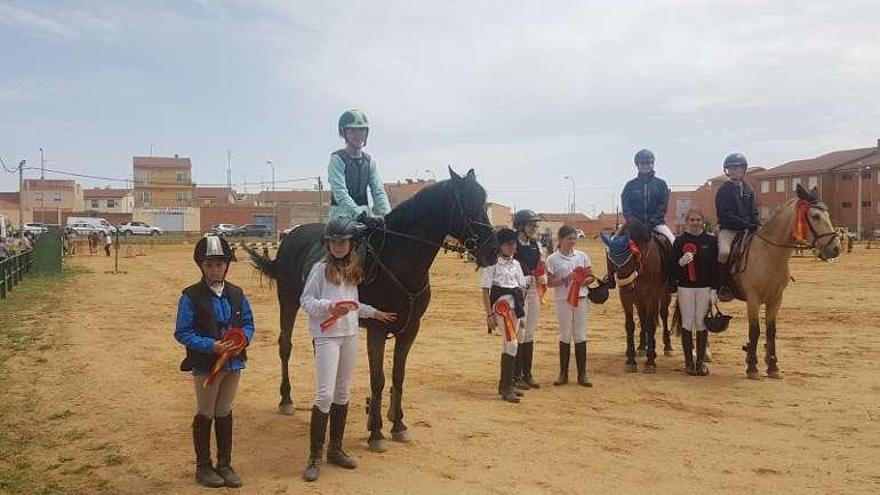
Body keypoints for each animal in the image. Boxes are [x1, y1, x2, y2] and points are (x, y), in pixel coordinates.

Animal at [244, 170, 498, 454]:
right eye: (467, 202)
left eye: (484, 201)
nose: (493, 251)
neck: (398, 261)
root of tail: (291, 236)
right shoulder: (377, 329)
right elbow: (378, 379)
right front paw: (376, 431)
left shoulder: (410, 329)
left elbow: (398, 376)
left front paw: (398, 425)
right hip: (288, 302)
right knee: (285, 346)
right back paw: (286, 399)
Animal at [728, 184, 840, 378]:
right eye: (815, 216)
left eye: (827, 214)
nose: (835, 248)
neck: (768, 252)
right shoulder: (753, 299)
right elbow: (755, 331)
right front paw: (752, 367)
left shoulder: (776, 298)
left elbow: (771, 331)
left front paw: (772, 366)